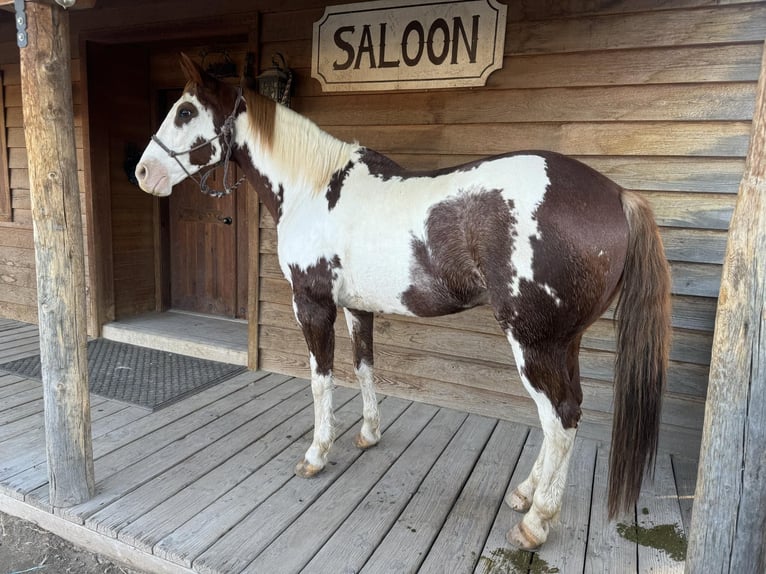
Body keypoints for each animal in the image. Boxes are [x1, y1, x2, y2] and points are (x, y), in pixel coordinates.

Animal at [135, 54, 672, 550]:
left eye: (185, 110)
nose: (142, 173)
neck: (314, 188)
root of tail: (618, 195)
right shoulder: (357, 308)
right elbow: (365, 367)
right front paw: (368, 434)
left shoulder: (312, 305)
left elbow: (321, 380)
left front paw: (317, 454)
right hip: (564, 342)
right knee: (566, 411)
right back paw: (524, 493)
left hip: (533, 343)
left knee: (559, 418)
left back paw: (535, 522)